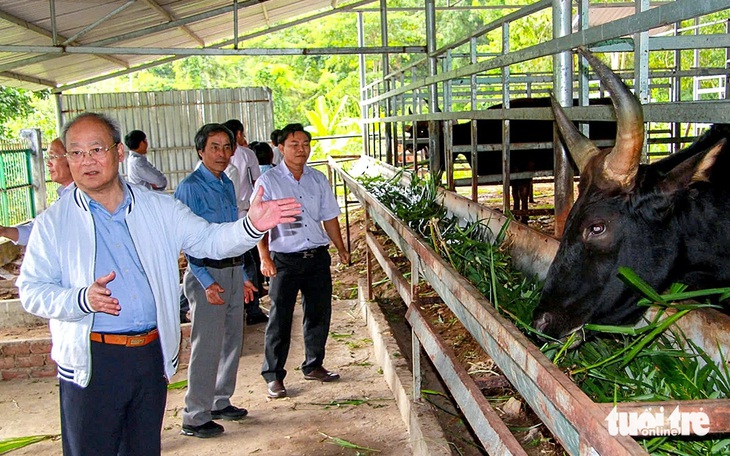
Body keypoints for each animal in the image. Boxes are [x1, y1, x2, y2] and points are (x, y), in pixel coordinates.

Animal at [404, 98, 616, 223]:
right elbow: (515, 194)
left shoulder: (523, 168)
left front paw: (523, 218)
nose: (408, 147)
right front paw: (515, 213)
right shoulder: (514, 171)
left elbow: (521, 193)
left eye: (423, 132)